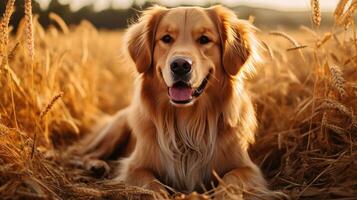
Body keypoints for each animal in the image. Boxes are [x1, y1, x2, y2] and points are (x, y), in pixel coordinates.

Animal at [78, 4, 280, 200]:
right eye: (166, 38)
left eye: (204, 39)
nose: (180, 65)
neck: (188, 123)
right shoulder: (134, 167)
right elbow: (151, 186)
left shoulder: (249, 169)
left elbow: (231, 179)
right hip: (116, 128)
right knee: (86, 153)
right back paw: (97, 165)